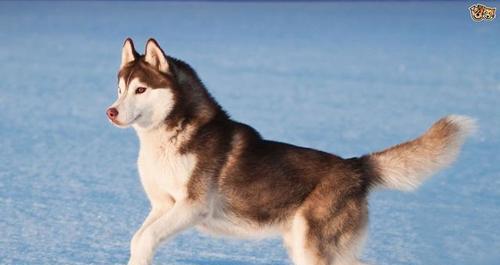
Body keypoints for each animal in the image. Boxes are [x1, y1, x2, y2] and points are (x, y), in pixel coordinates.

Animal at [106, 37, 476, 264]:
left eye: (141, 89)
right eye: (120, 89)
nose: (110, 111)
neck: (168, 139)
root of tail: (356, 167)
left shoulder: (193, 207)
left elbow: (145, 239)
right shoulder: (163, 206)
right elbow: (138, 238)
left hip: (312, 246)